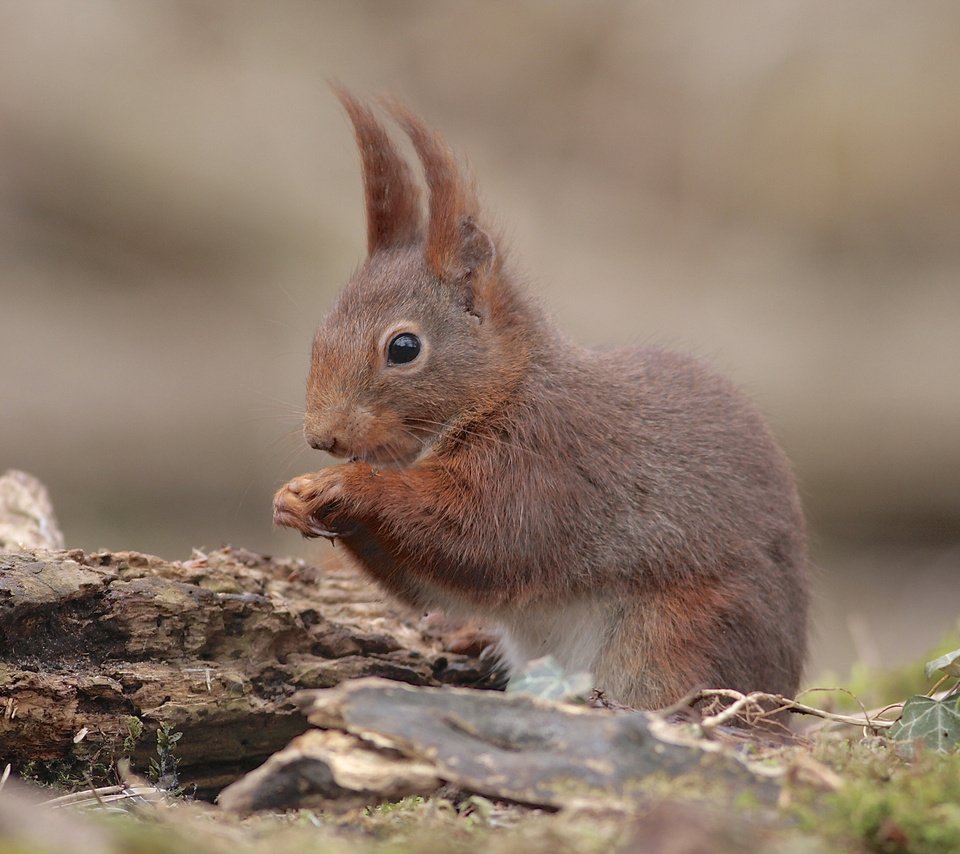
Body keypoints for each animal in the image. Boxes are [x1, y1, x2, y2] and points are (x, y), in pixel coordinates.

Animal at [276, 90, 808, 712]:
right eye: (321, 330)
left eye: (403, 347)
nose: (322, 437)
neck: (507, 388)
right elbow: (430, 585)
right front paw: (291, 499)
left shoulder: (549, 462)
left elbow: (480, 540)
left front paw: (348, 486)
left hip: (677, 637)